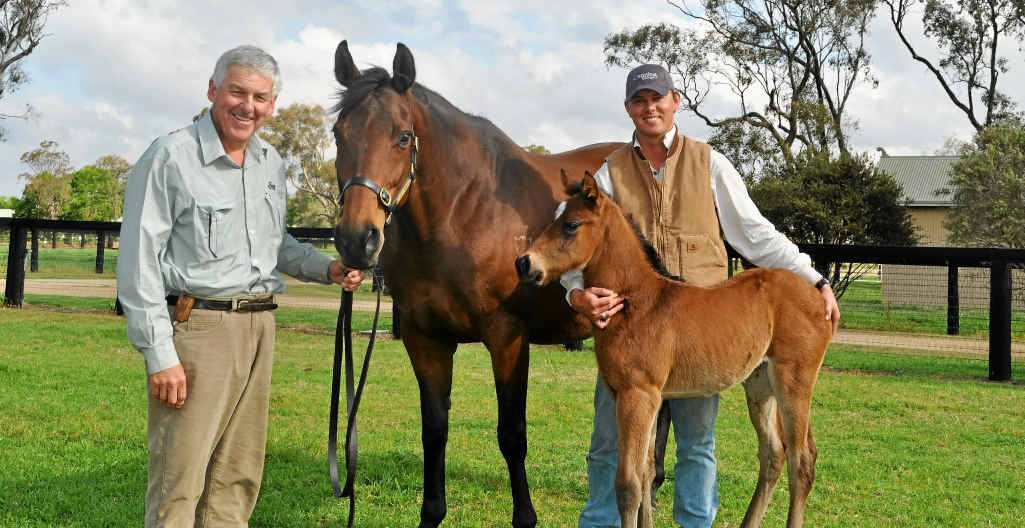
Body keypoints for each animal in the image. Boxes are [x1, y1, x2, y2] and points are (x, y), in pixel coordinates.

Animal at [329, 41, 622, 528]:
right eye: (338, 133)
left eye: (403, 137)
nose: (357, 240)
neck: (463, 214)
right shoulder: (425, 339)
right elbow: (434, 431)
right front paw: (432, 513)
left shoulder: (507, 337)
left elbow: (512, 435)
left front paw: (525, 517)